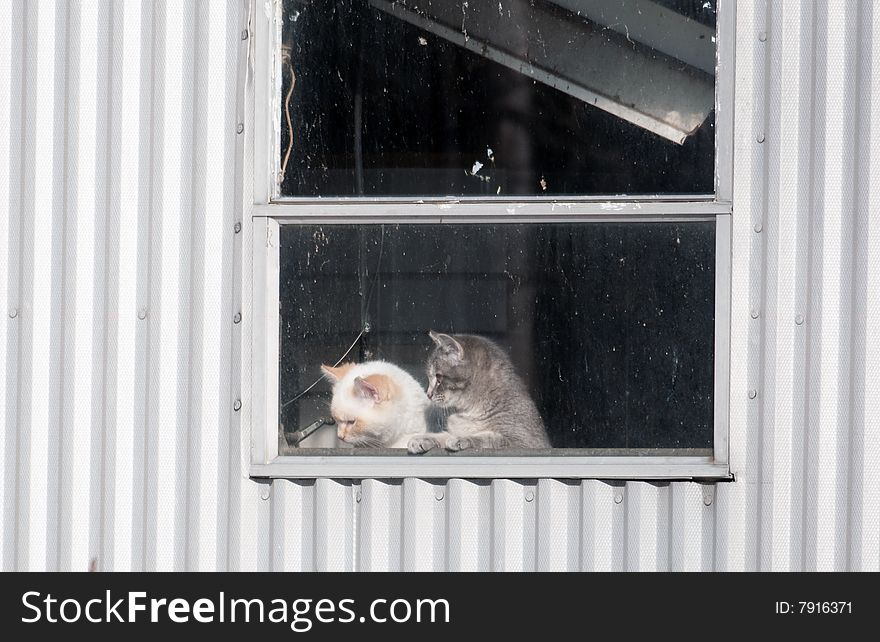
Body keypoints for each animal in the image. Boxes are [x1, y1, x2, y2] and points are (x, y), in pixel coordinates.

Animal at [408, 330, 552, 450]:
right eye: (430, 377)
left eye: (438, 378)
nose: (428, 394)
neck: (469, 412)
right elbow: (443, 435)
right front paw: (423, 438)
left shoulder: (526, 442)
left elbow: (488, 438)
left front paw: (461, 438)